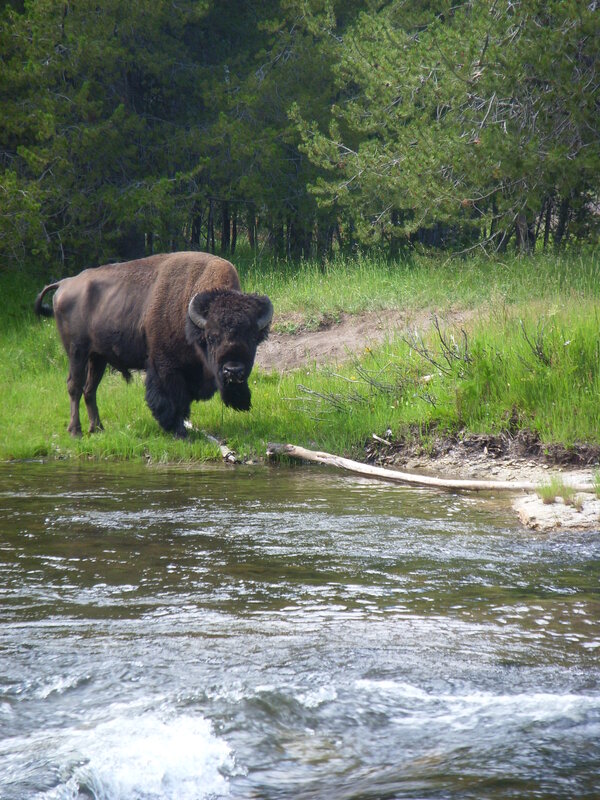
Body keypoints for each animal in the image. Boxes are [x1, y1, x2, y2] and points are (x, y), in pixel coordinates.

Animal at [34, 251, 273, 438]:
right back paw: (76, 431)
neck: (193, 321)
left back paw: (98, 429)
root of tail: (64, 283)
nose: (233, 371)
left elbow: (183, 401)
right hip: (77, 352)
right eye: (212, 337)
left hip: (97, 357)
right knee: (74, 386)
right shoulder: (165, 366)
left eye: (252, 338)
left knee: (89, 389)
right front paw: (178, 431)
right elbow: (172, 398)